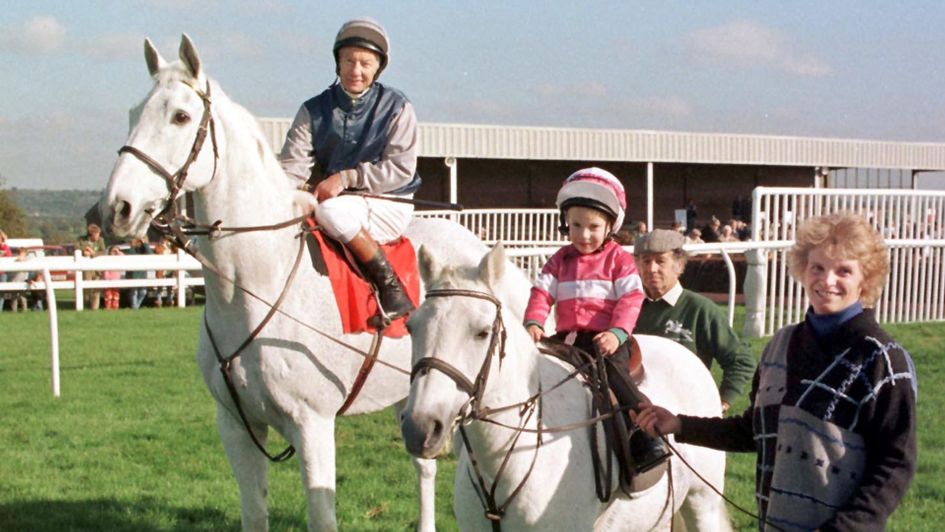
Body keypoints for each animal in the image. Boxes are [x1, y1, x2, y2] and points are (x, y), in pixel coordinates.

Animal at [100, 35, 486, 528]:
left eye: (181, 116)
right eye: (134, 112)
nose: (116, 209)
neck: (254, 287)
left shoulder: (313, 425)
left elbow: (322, 515)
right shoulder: (237, 426)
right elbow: (254, 511)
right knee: (424, 465)